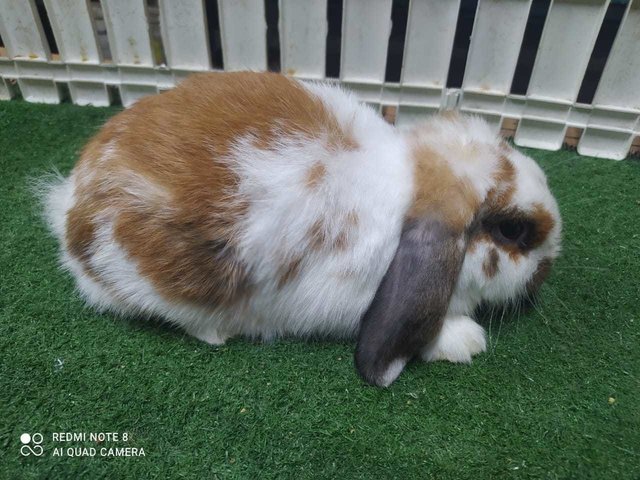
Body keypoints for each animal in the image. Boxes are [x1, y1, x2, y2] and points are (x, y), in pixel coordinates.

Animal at [42, 71, 560, 386]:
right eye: (512, 231)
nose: (548, 268)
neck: (412, 182)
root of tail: (71, 208)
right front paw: (466, 342)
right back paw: (216, 333)